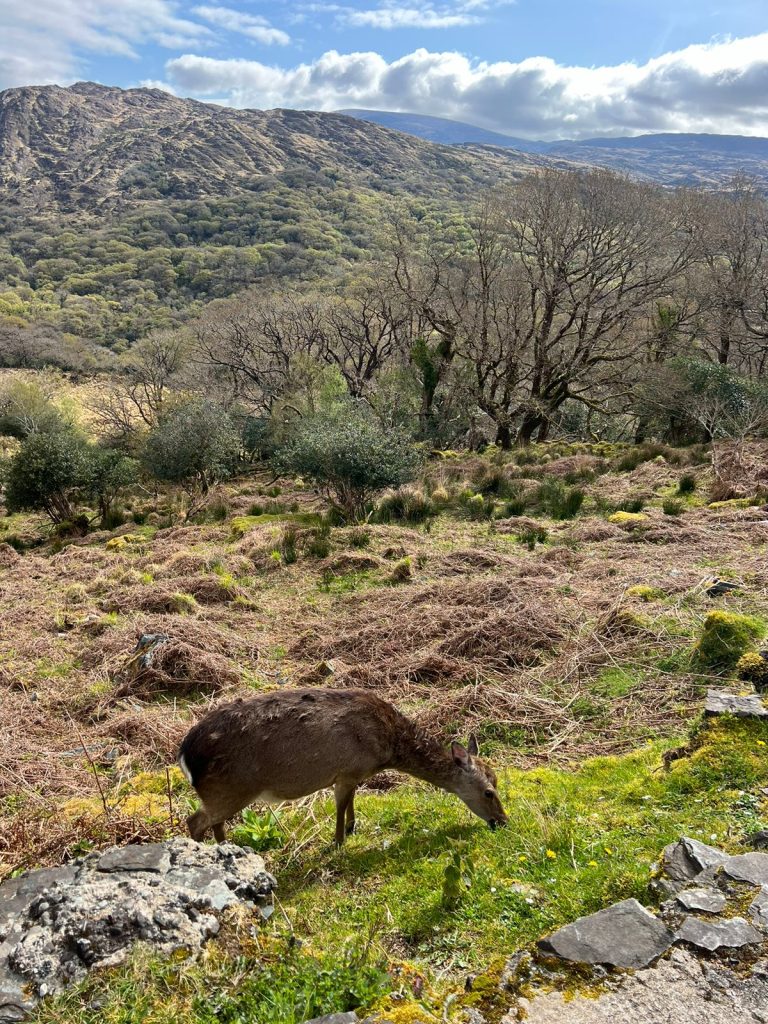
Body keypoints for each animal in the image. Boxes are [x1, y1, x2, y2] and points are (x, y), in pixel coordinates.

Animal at [177, 687, 508, 846]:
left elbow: (352, 800)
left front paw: (351, 826)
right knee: (195, 821)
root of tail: (185, 754)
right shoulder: (347, 771)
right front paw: (338, 840)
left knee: (213, 822)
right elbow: (340, 805)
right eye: (489, 791)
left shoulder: (354, 773)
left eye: (497, 781)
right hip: (230, 788)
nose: (503, 822)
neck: (386, 748)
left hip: (222, 793)